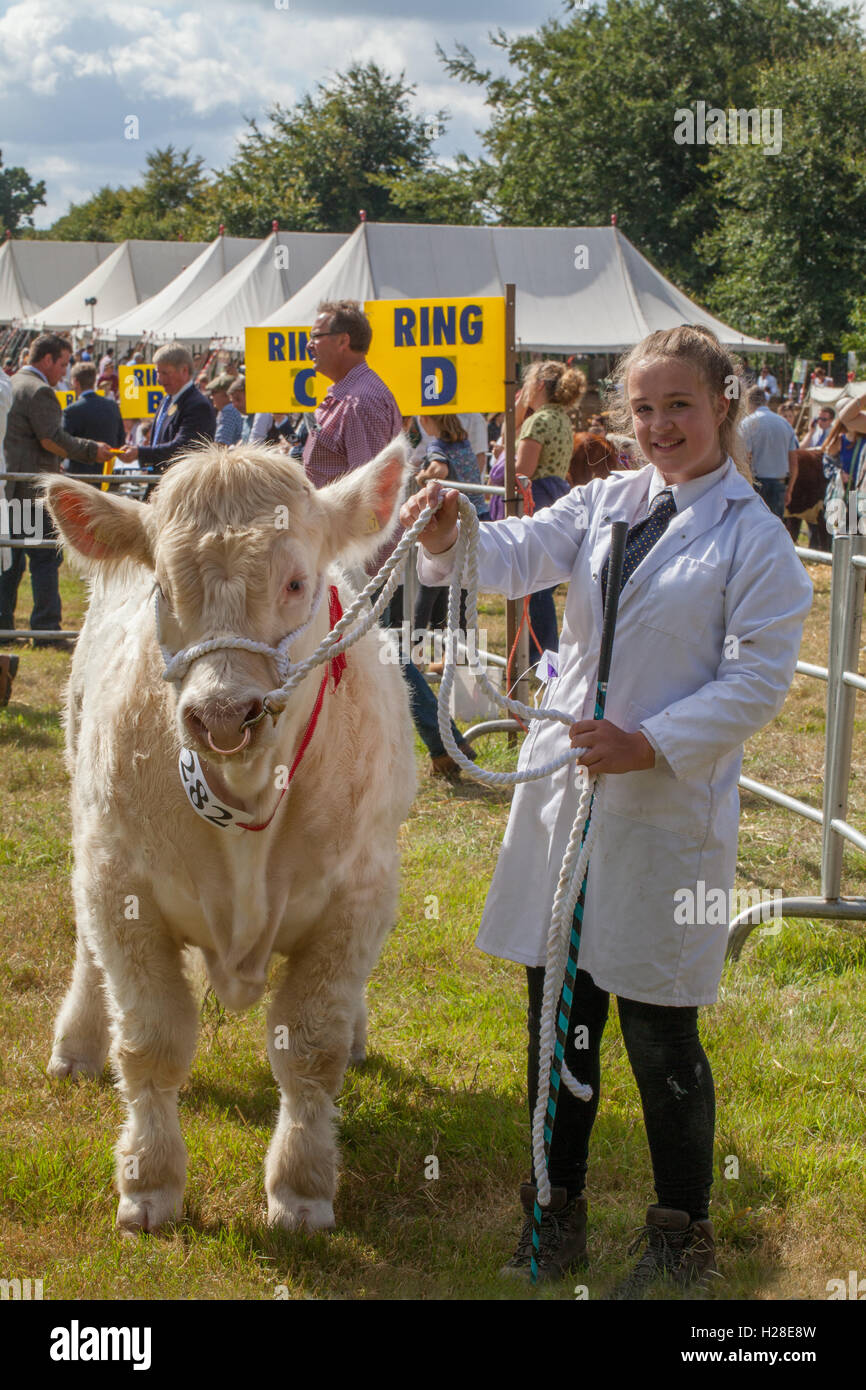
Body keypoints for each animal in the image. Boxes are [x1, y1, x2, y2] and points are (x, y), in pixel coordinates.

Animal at [44, 439, 417, 1234]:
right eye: (162, 584)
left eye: (297, 581)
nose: (222, 713)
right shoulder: (119, 883)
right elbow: (151, 1041)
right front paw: (149, 1181)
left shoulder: (359, 894)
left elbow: (311, 1048)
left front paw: (302, 1189)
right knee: (89, 959)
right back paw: (77, 1043)